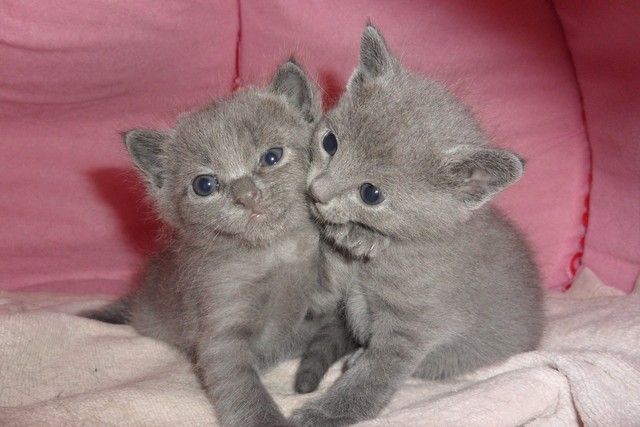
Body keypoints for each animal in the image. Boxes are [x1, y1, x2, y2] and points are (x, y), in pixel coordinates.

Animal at [82, 60, 339, 427]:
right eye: (205, 185)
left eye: (271, 157)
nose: (247, 195)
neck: (271, 253)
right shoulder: (220, 326)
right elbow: (242, 388)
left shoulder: (320, 298)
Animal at [290, 25, 543, 426]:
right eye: (329, 142)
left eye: (371, 193)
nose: (316, 192)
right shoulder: (330, 292)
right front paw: (346, 234)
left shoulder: (415, 327)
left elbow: (372, 380)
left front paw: (320, 414)